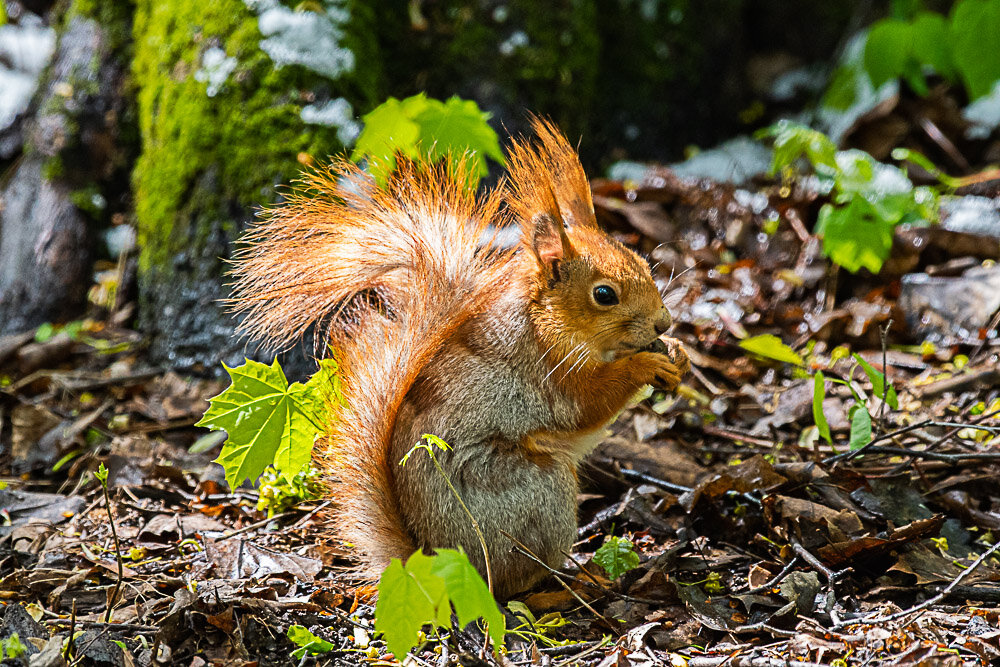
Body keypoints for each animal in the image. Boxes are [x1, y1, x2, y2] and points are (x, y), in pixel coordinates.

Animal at [230, 117, 692, 596]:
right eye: (604, 295)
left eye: (640, 260)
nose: (664, 323)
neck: (543, 321)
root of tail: (432, 559)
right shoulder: (547, 372)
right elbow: (589, 403)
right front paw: (644, 364)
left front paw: (679, 355)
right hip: (537, 493)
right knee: (512, 584)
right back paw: (570, 582)